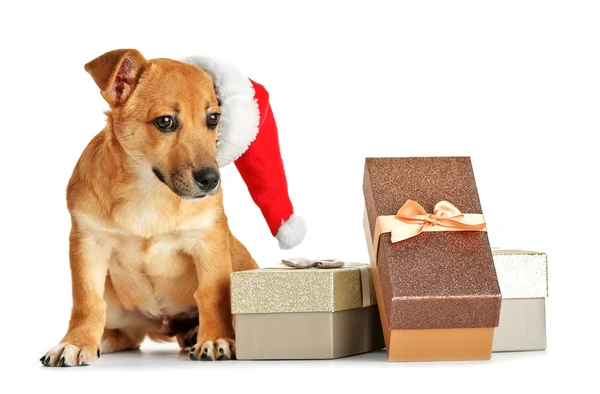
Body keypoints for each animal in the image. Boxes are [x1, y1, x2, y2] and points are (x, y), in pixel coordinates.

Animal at [39, 49, 260, 366]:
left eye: (213, 118)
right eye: (165, 121)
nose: (211, 180)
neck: (149, 191)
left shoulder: (208, 240)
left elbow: (211, 294)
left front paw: (216, 338)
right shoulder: (88, 242)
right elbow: (87, 298)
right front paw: (76, 342)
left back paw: (197, 333)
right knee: (122, 331)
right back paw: (103, 339)